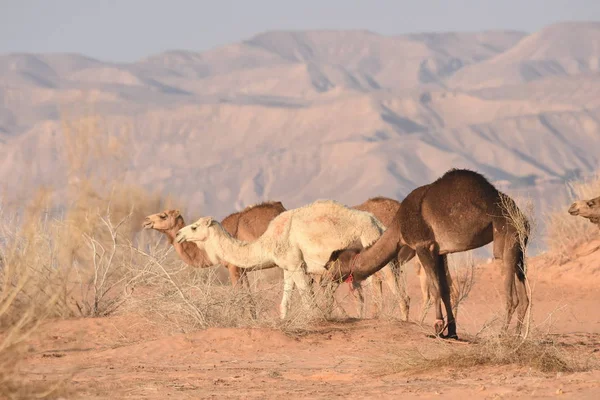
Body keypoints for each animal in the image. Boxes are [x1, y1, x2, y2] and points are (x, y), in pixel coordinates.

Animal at [175, 199, 398, 318]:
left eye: (194, 227)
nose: (178, 234)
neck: (269, 240)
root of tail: (378, 223)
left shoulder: (298, 266)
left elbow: (308, 303)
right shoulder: (288, 268)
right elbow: (285, 303)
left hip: (372, 244)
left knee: (391, 286)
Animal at [324, 167, 528, 340]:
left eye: (332, 263)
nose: (325, 274)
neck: (398, 230)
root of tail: (521, 216)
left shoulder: (423, 245)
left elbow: (435, 288)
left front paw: (437, 329)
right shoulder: (440, 251)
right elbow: (444, 290)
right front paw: (451, 332)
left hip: (505, 234)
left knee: (512, 295)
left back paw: (503, 335)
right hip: (520, 246)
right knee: (524, 294)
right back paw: (518, 337)